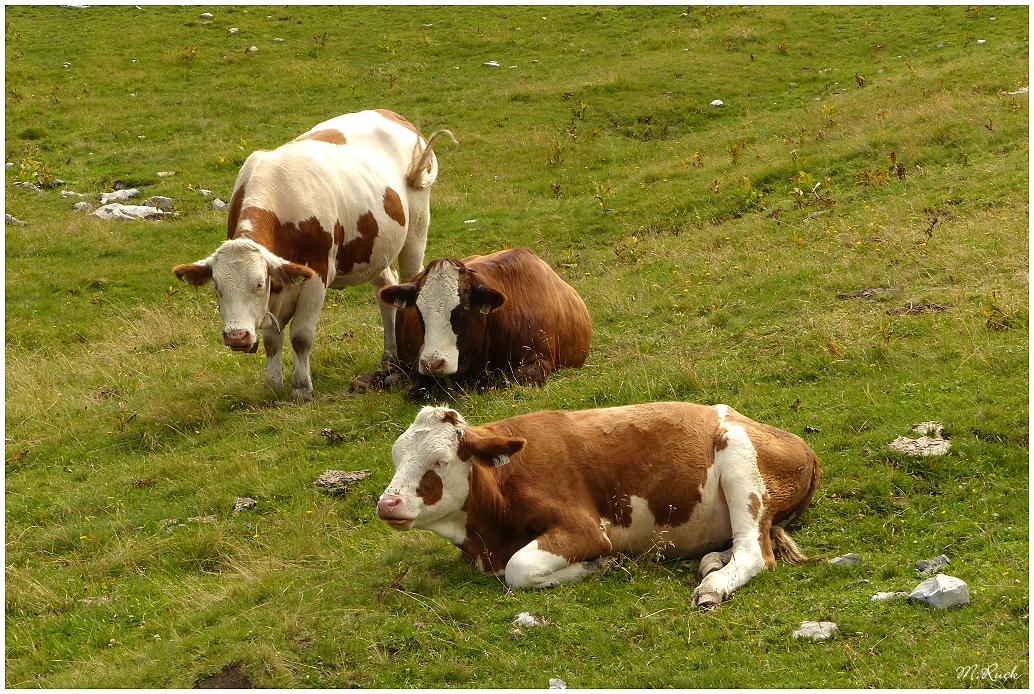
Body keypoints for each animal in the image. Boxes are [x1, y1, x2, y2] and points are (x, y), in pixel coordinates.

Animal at [172, 108, 452, 401]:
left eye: (258, 283)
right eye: (216, 286)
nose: (237, 337)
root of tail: (389, 113)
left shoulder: (316, 276)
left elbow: (301, 336)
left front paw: (301, 388)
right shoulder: (277, 283)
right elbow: (272, 339)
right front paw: (273, 385)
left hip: (416, 228)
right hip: (376, 247)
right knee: (386, 289)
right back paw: (390, 360)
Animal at [376, 401, 818, 608]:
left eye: (439, 461)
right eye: (396, 457)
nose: (387, 503)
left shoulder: (584, 529)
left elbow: (520, 568)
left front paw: (599, 564)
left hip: (738, 456)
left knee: (755, 552)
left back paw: (713, 586)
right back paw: (711, 562)